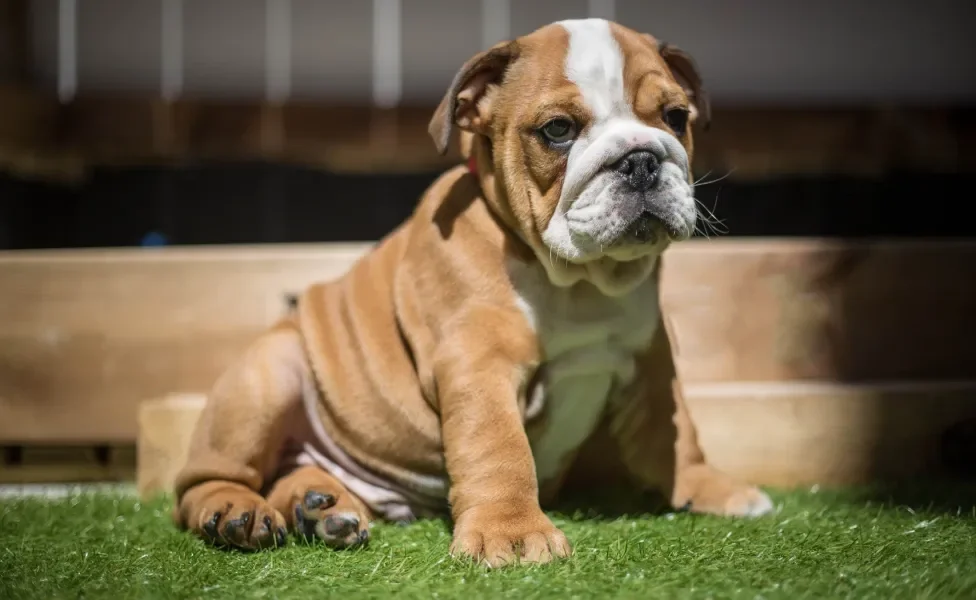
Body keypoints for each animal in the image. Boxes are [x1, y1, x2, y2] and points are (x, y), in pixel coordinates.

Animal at [172, 17, 772, 568]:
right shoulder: (479, 364)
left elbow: (678, 435)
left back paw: (320, 506)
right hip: (267, 376)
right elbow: (500, 448)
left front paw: (711, 488)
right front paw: (514, 533)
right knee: (201, 484)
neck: (579, 281)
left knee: (287, 472)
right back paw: (236, 512)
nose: (642, 159)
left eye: (676, 117)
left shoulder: (650, 365)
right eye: (558, 130)